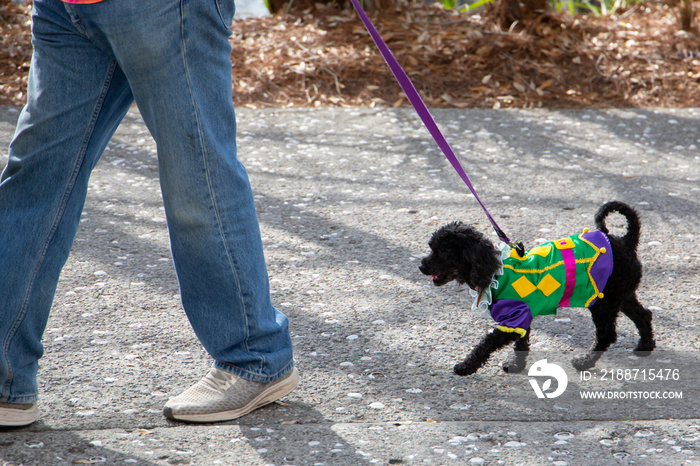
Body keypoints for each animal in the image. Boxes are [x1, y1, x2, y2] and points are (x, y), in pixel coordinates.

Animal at [422, 200, 656, 374]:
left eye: (442, 252)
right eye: (432, 249)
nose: (421, 266)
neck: (494, 269)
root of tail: (626, 242)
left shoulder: (513, 318)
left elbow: (487, 342)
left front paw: (466, 366)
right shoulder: (521, 315)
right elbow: (521, 342)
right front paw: (516, 365)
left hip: (603, 301)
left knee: (607, 334)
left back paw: (585, 361)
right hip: (620, 295)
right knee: (644, 315)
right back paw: (645, 346)